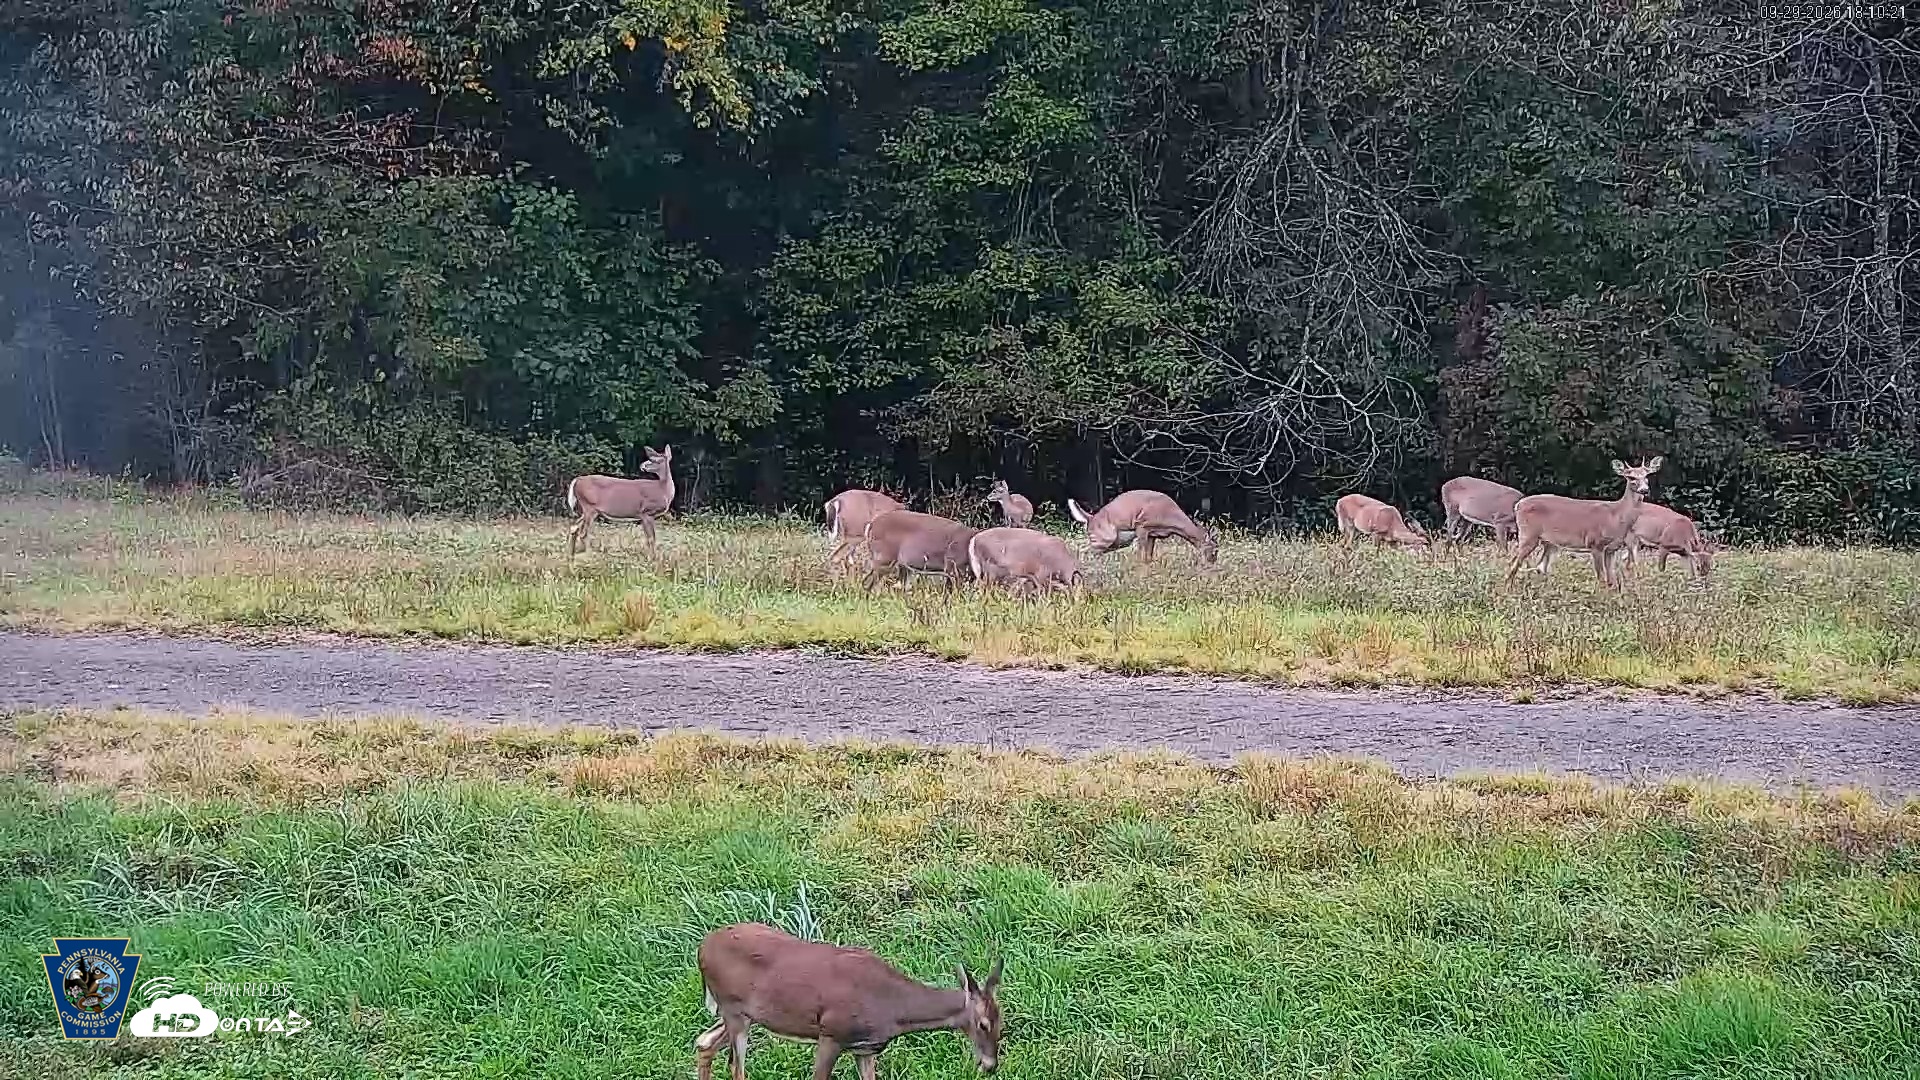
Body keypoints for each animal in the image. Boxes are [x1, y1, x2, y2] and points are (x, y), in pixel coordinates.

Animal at [695, 922, 1003, 1080]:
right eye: (983, 1024)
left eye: (1003, 1024)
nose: (990, 1065)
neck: (892, 1008)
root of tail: (702, 948)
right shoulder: (831, 1033)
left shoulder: (864, 1049)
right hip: (734, 1010)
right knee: (735, 1067)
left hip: (740, 1013)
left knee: (704, 1041)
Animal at [1066, 490, 1218, 565]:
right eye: (1214, 549)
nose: (1213, 561)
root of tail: (1090, 518)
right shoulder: (1142, 526)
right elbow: (1141, 556)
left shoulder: (1153, 534)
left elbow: (1148, 558)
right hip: (1106, 537)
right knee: (1085, 550)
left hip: (1116, 541)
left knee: (1090, 551)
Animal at [1504, 457, 1663, 590]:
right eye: (1631, 477)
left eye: (1646, 475)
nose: (1644, 490)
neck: (1617, 516)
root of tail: (1518, 505)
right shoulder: (1595, 543)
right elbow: (1601, 578)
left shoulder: (1611, 549)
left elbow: (1611, 580)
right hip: (1528, 534)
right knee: (1513, 562)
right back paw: (1508, 590)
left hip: (1549, 542)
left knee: (1541, 566)